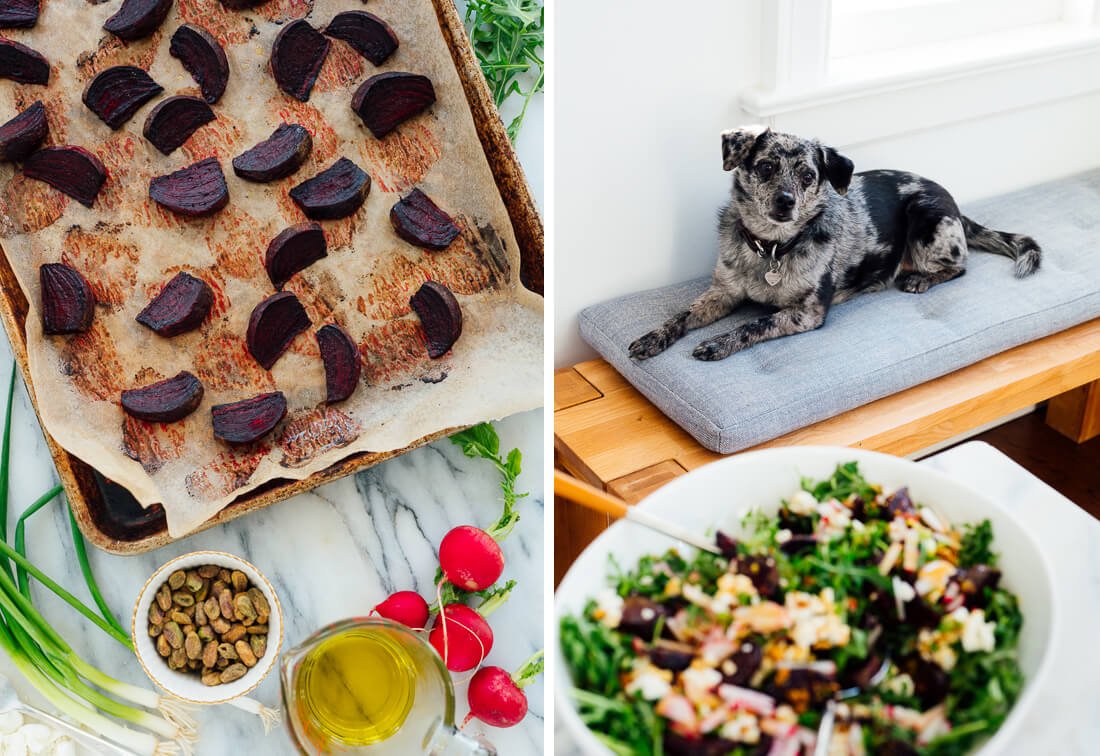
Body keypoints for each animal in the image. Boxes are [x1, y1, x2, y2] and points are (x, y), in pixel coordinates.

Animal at [629, 125, 1038, 363]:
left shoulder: (807, 312)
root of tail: (952, 202)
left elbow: (756, 323)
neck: (771, 248)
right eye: (765, 167)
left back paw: (920, 278)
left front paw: (719, 342)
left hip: (926, 219)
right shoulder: (722, 293)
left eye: (808, 176)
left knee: (959, 266)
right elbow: (681, 315)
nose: (785, 201)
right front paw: (653, 338)